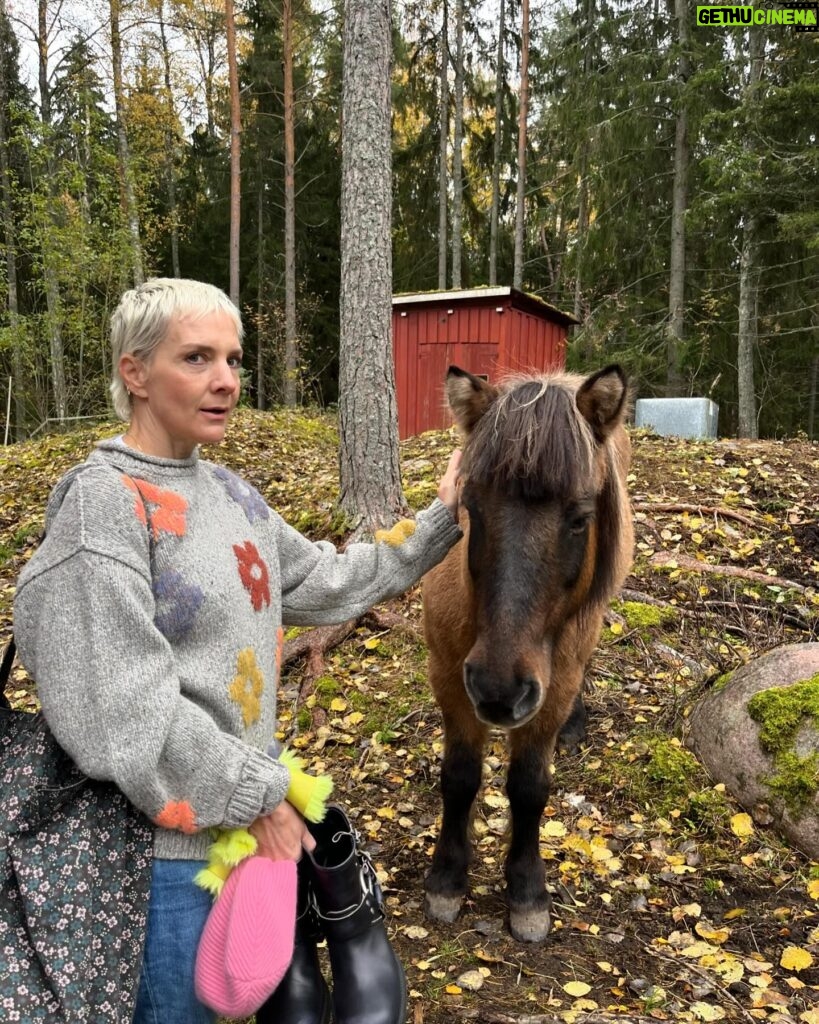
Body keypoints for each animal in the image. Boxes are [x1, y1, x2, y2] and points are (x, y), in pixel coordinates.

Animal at [421, 366, 634, 942]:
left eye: (579, 518)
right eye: (471, 507)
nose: (499, 691)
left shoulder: (551, 687)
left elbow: (530, 787)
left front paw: (526, 890)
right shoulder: (449, 675)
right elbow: (460, 777)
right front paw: (447, 879)